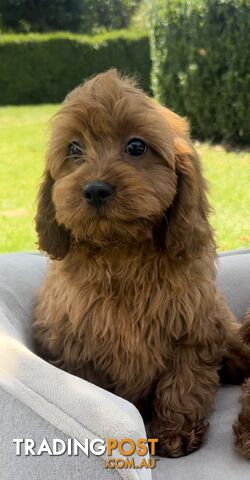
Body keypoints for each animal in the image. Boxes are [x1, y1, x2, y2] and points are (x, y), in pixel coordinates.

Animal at [33, 68, 250, 458]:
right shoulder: (76, 343)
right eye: (74, 149)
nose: (95, 189)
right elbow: (98, 391)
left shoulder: (192, 331)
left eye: (136, 147)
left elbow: (184, 384)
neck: (122, 250)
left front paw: (176, 433)